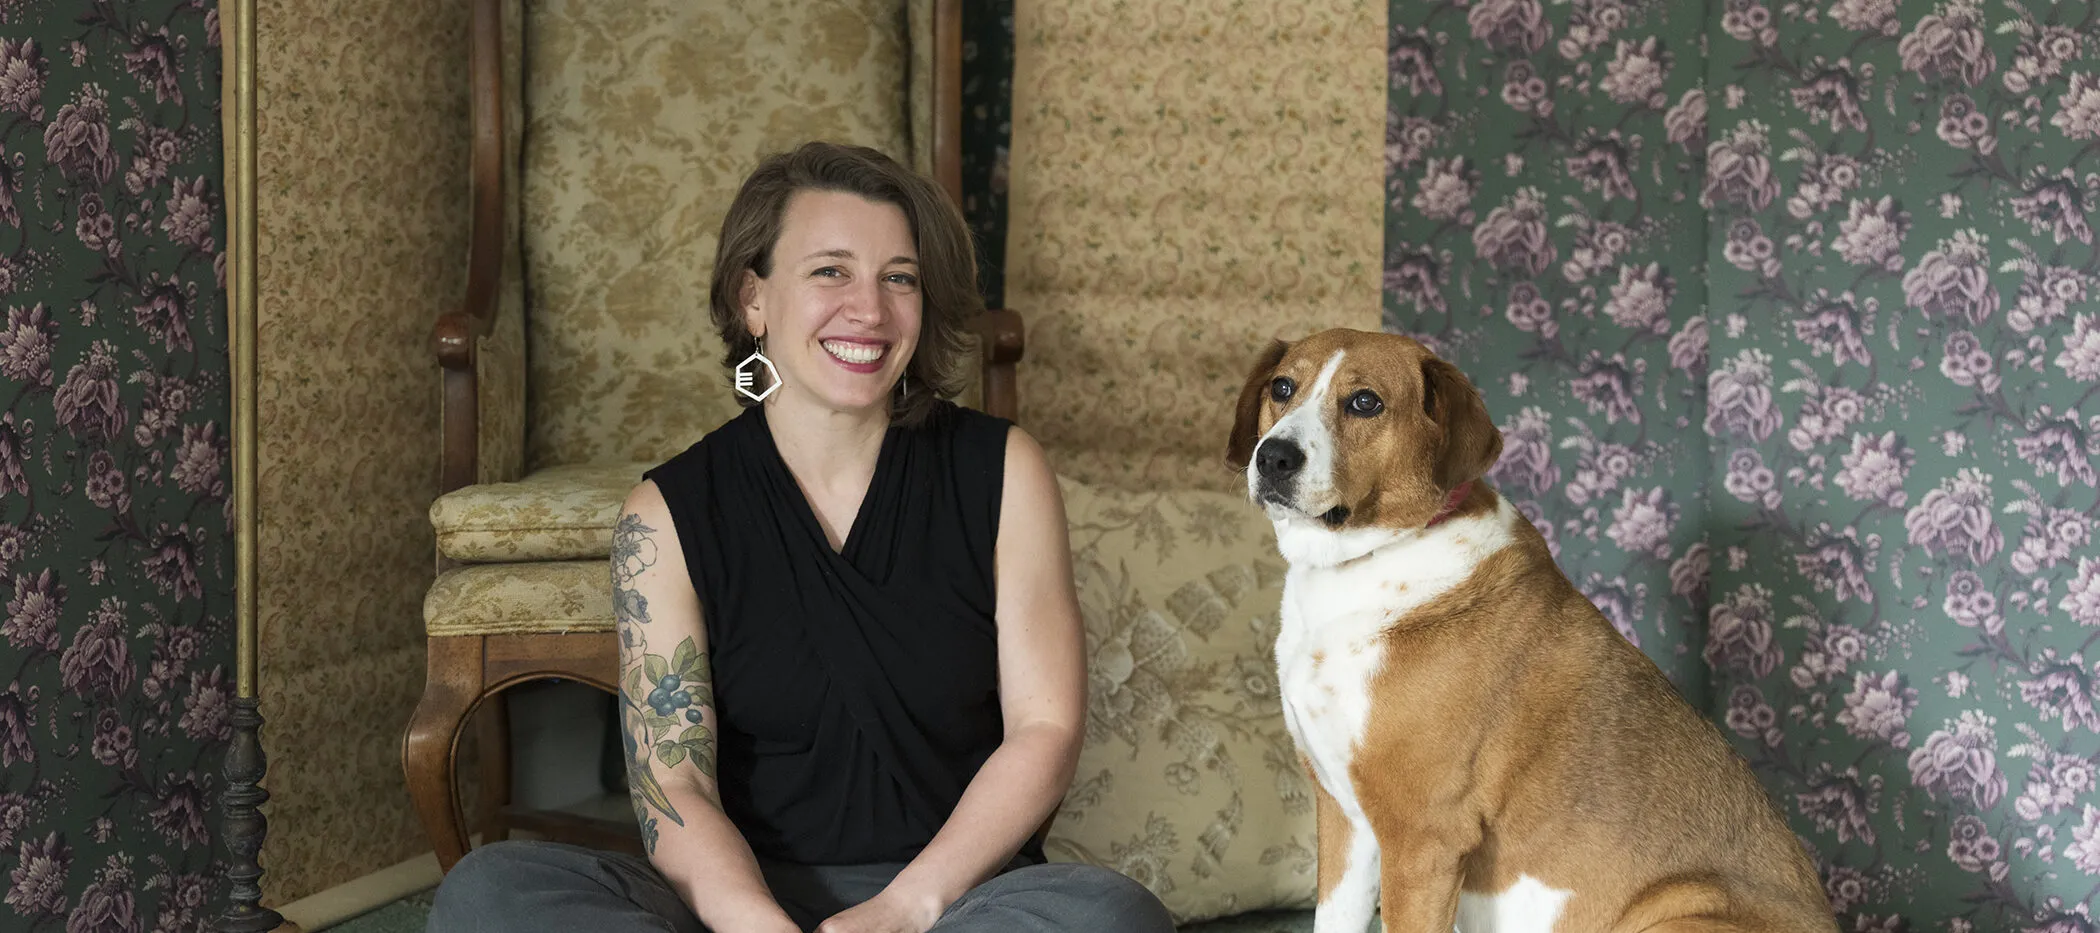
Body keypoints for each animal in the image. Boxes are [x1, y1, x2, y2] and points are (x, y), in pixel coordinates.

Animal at [1226, 329, 1831, 932]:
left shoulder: (1421, 840)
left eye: (1365, 402)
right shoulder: (1344, 821)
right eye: (1283, 387)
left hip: (1677, 912)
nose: (1273, 457)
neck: (1358, 565)